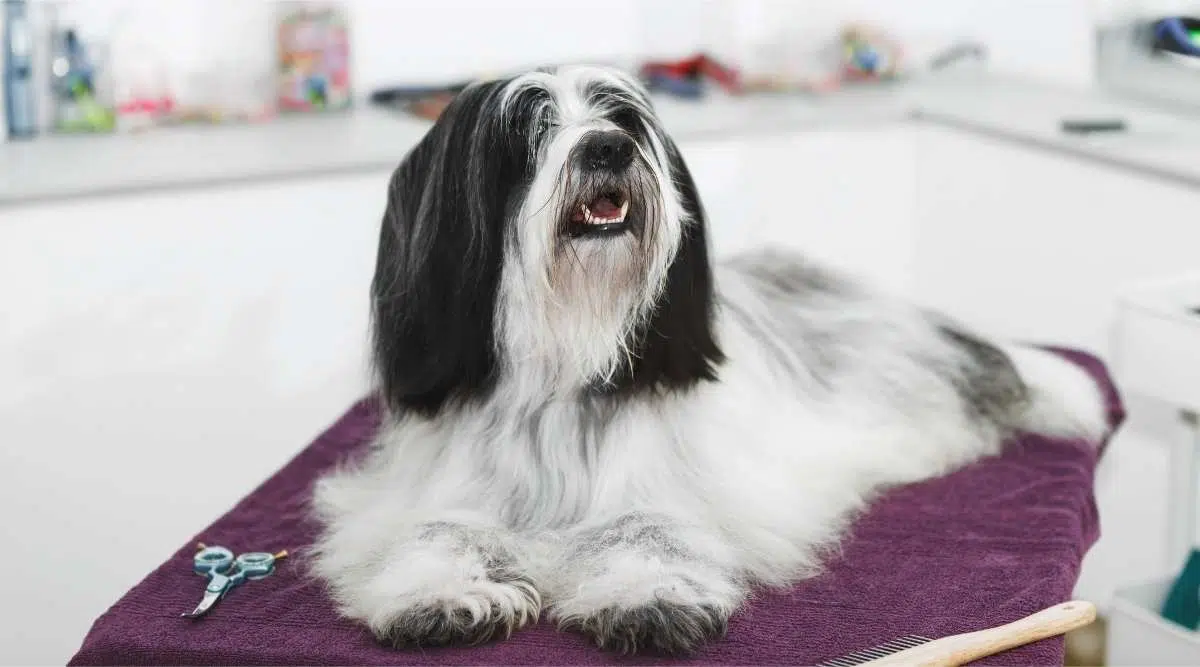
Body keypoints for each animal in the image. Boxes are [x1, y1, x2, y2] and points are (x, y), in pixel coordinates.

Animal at [309, 65, 1104, 652]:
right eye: (530, 130)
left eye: (623, 119)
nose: (607, 147)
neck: (566, 366)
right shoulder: (429, 493)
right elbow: (437, 530)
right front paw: (443, 592)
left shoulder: (677, 492)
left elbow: (649, 527)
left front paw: (646, 595)